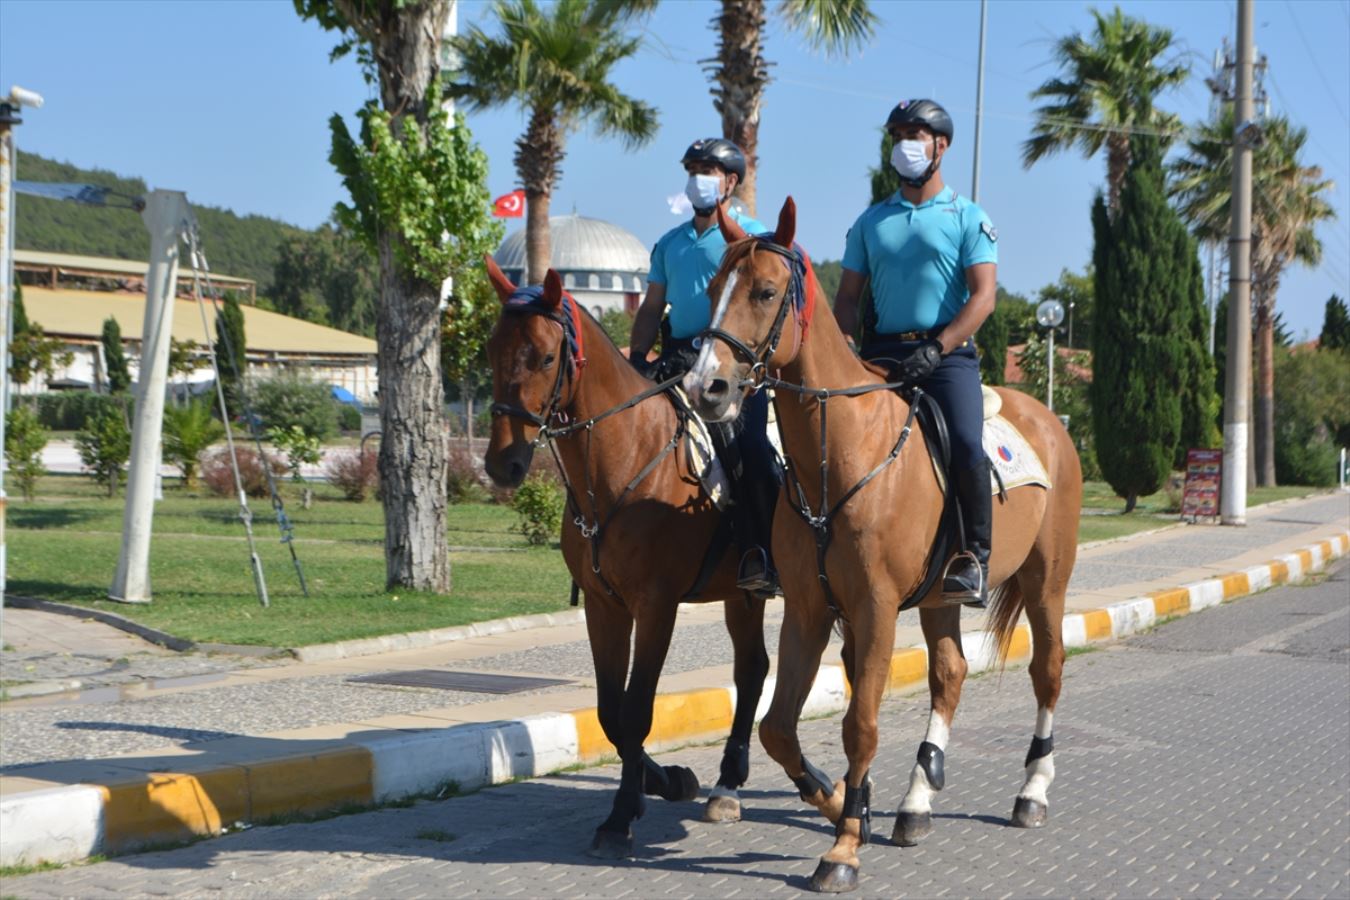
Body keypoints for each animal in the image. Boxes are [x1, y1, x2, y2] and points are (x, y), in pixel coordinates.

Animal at [483, 256, 772, 863]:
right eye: (492, 350)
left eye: (545, 357)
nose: (503, 463)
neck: (625, 456)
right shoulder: (604, 605)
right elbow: (611, 714)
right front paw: (659, 784)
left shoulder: (656, 605)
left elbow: (638, 709)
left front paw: (621, 816)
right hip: (741, 594)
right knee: (753, 669)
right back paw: (725, 783)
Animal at [685, 198, 1085, 895]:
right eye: (712, 291)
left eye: (765, 292)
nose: (704, 386)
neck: (841, 453)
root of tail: (1048, 420)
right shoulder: (809, 610)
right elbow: (778, 728)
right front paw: (842, 801)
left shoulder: (873, 610)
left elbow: (861, 725)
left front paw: (843, 847)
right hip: (941, 598)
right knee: (949, 674)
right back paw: (916, 802)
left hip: (1046, 584)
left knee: (1048, 671)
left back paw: (1032, 791)